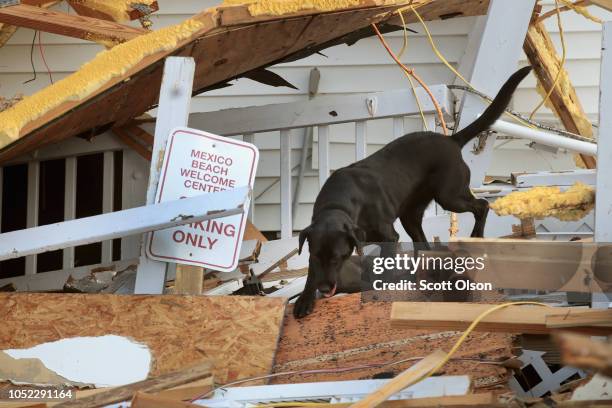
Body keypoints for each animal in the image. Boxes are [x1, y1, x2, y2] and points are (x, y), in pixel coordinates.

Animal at [294, 66, 532, 318]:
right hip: (411, 215)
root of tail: (451, 140)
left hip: (449, 197)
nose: (325, 289)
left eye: (339, 258)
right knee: (424, 247)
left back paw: (476, 235)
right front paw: (305, 299)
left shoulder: (390, 237)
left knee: (482, 205)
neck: (338, 203)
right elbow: (311, 273)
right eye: (316, 256)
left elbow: (384, 268)